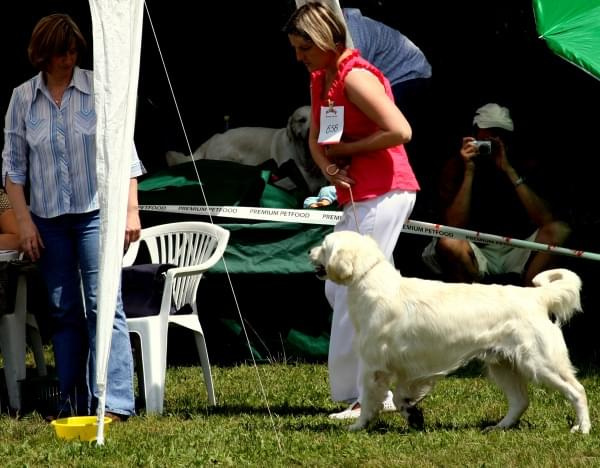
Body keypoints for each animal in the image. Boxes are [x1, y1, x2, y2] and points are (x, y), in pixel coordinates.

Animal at [310, 232, 592, 434]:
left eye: (324, 246)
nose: (310, 251)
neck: (371, 281)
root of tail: (536, 295)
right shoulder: (411, 369)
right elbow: (401, 396)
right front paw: (413, 416)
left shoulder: (374, 366)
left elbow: (369, 400)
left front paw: (357, 426)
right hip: (503, 365)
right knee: (520, 402)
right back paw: (497, 427)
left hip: (541, 363)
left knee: (577, 391)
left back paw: (583, 428)